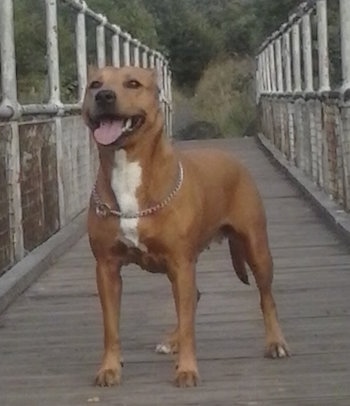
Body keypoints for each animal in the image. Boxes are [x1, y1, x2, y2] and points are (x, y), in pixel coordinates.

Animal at [82, 66, 290, 386]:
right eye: (94, 84)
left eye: (133, 83)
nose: (104, 96)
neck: (127, 168)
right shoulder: (106, 268)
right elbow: (111, 327)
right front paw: (109, 368)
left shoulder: (181, 263)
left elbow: (190, 324)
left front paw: (188, 370)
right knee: (194, 299)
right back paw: (172, 340)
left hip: (256, 249)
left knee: (266, 297)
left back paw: (275, 343)